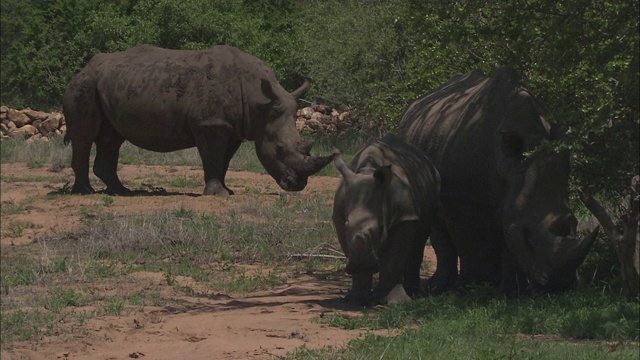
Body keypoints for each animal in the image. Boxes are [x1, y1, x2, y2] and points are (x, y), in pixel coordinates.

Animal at [330, 134, 440, 306]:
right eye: (347, 225)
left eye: (381, 228)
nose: (360, 263)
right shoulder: (339, 218)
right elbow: (350, 246)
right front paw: (355, 300)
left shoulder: (404, 217)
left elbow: (393, 260)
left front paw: (395, 302)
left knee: (419, 239)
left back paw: (413, 292)